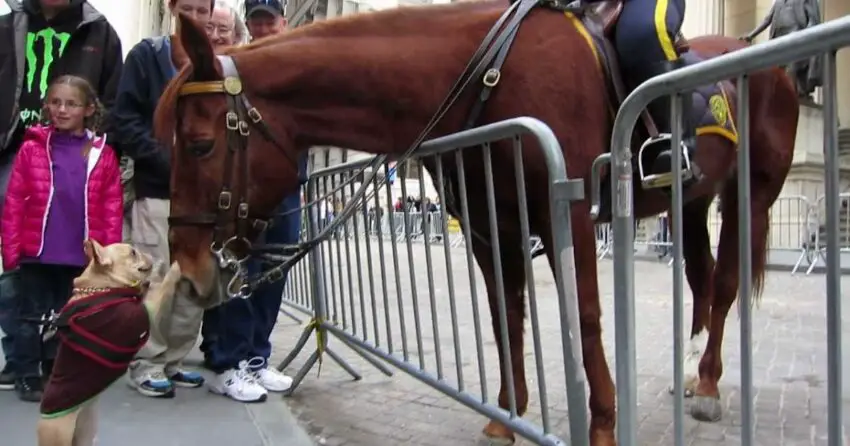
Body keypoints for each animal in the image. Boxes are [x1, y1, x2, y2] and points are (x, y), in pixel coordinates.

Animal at [156, 1, 800, 444]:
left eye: (200, 144)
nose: (189, 267)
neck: (490, 74)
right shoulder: (493, 227)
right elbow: (504, 317)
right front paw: (506, 416)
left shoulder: (568, 214)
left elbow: (586, 318)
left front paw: (601, 423)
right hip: (689, 203)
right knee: (702, 279)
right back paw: (693, 373)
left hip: (751, 195)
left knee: (724, 284)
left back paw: (709, 384)